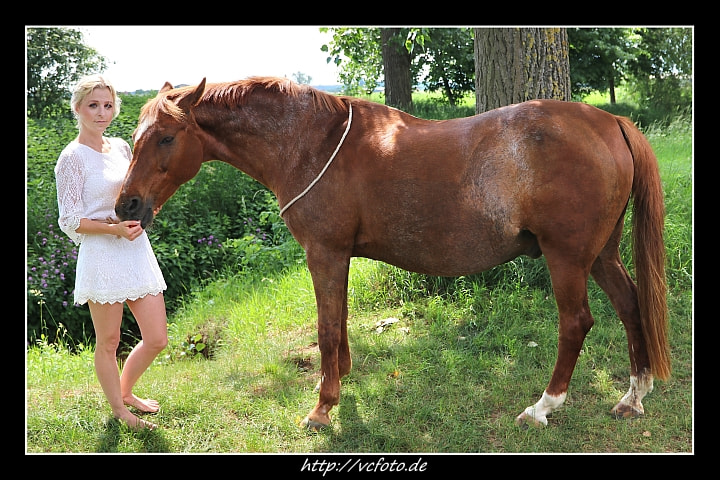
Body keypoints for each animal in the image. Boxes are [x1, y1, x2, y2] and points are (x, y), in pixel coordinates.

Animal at [116, 77, 668, 430]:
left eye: (165, 137)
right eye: (136, 137)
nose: (127, 205)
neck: (311, 144)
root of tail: (610, 120)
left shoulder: (324, 253)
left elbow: (326, 328)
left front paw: (322, 408)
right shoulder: (338, 256)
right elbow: (338, 324)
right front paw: (341, 382)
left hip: (567, 258)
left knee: (576, 323)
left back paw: (542, 408)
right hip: (601, 255)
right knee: (630, 305)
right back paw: (634, 395)